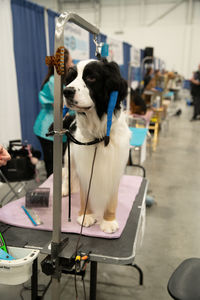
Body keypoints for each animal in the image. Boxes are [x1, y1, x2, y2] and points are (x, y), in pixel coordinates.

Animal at [62, 57, 130, 233]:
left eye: (91, 77)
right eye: (71, 78)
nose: (67, 91)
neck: (99, 135)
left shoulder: (114, 166)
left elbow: (112, 199)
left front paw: (108, 221)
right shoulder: (84, 164)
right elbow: (85, 193)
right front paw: (86, 216)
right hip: (69, 156)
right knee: (66, 173)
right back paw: (65, 189)